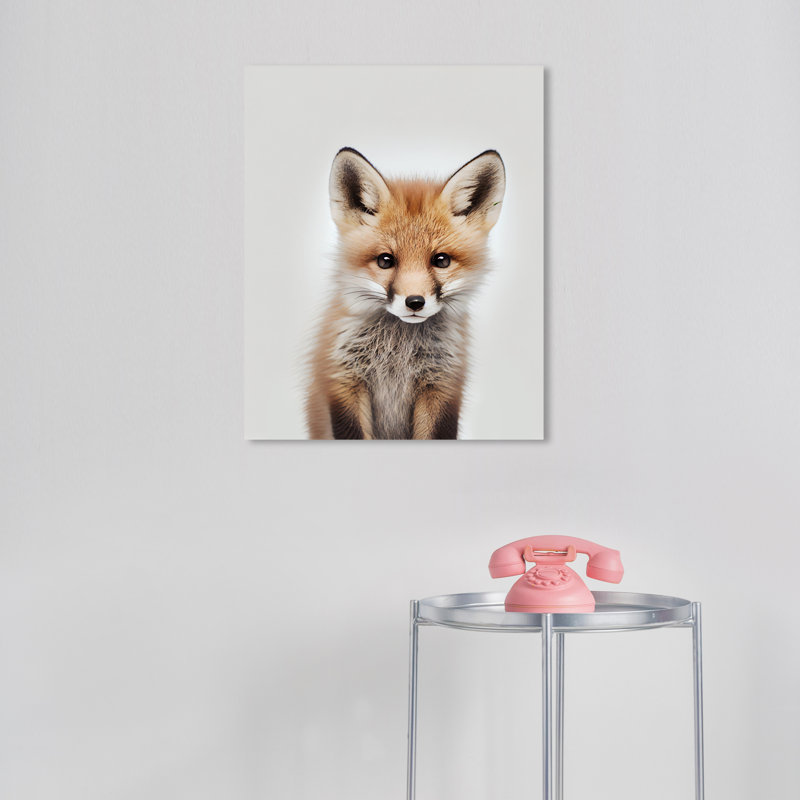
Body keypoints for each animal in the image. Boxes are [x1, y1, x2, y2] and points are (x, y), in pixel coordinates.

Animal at [306, 147, 505, 440]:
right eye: (385, 260)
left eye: (441, 260)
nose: (415, 302)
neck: (397, 351)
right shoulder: (343, 380)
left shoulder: (441, 384)